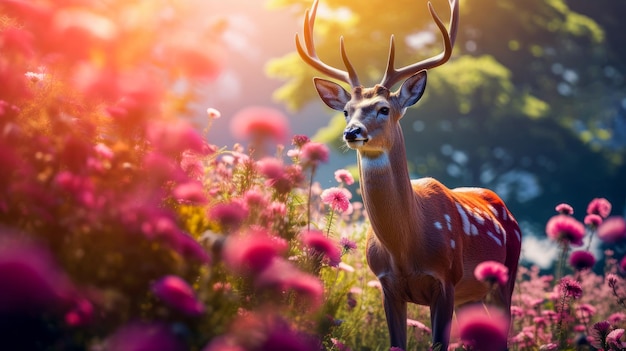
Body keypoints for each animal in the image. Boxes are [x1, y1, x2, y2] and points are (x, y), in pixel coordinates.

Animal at [294, 0, 520, 351]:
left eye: (384, 109)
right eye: (346, 111)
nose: (352, 132)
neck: (406, 246)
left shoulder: (447, 280)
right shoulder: (388, 286)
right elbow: (396, 343)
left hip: (505, 278)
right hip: (472, 296)